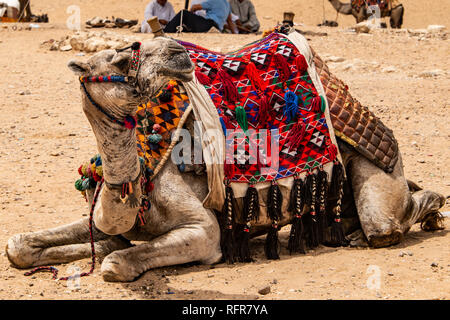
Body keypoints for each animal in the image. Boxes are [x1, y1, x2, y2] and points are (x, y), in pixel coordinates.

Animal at [5, 33, 444, 282]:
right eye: (119, 57)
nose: (176, 50)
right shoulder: (107, 220)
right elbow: (18, 246)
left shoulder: (204, 231)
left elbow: (117, 264)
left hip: (382, 176)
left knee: (389, 222)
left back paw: (427, 214)